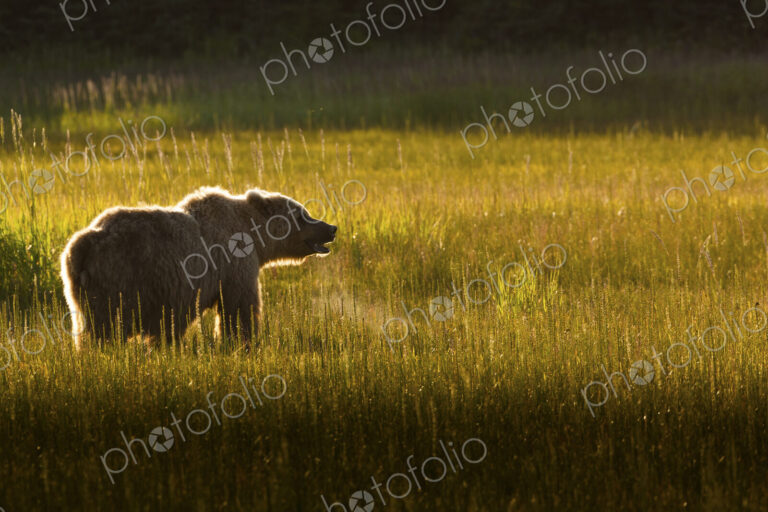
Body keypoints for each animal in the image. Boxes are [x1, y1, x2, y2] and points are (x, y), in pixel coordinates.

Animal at [60, 186, 337, 348]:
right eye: (303, 214)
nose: (331, 228)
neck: (256, 238)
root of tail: (80, 245)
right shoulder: (235, 264)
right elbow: (240, 307)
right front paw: (244, 342)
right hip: (120, 277)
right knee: (107, 326)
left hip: (78, 289)